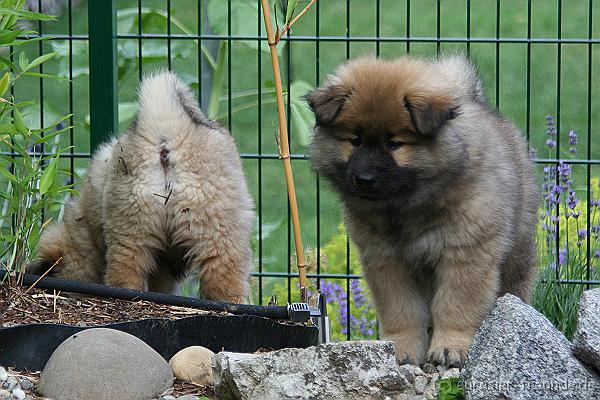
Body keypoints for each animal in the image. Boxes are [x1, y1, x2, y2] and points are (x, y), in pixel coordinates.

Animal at [308, 55, 536, 366]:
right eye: (355, 141)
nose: (364, 179)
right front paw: (401, 349)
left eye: (395, 144)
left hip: (517, 252)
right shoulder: (386, 260)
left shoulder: (466, 256)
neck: (407, 207)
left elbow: (456, 306)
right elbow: (401, 310)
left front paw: (450, 347)